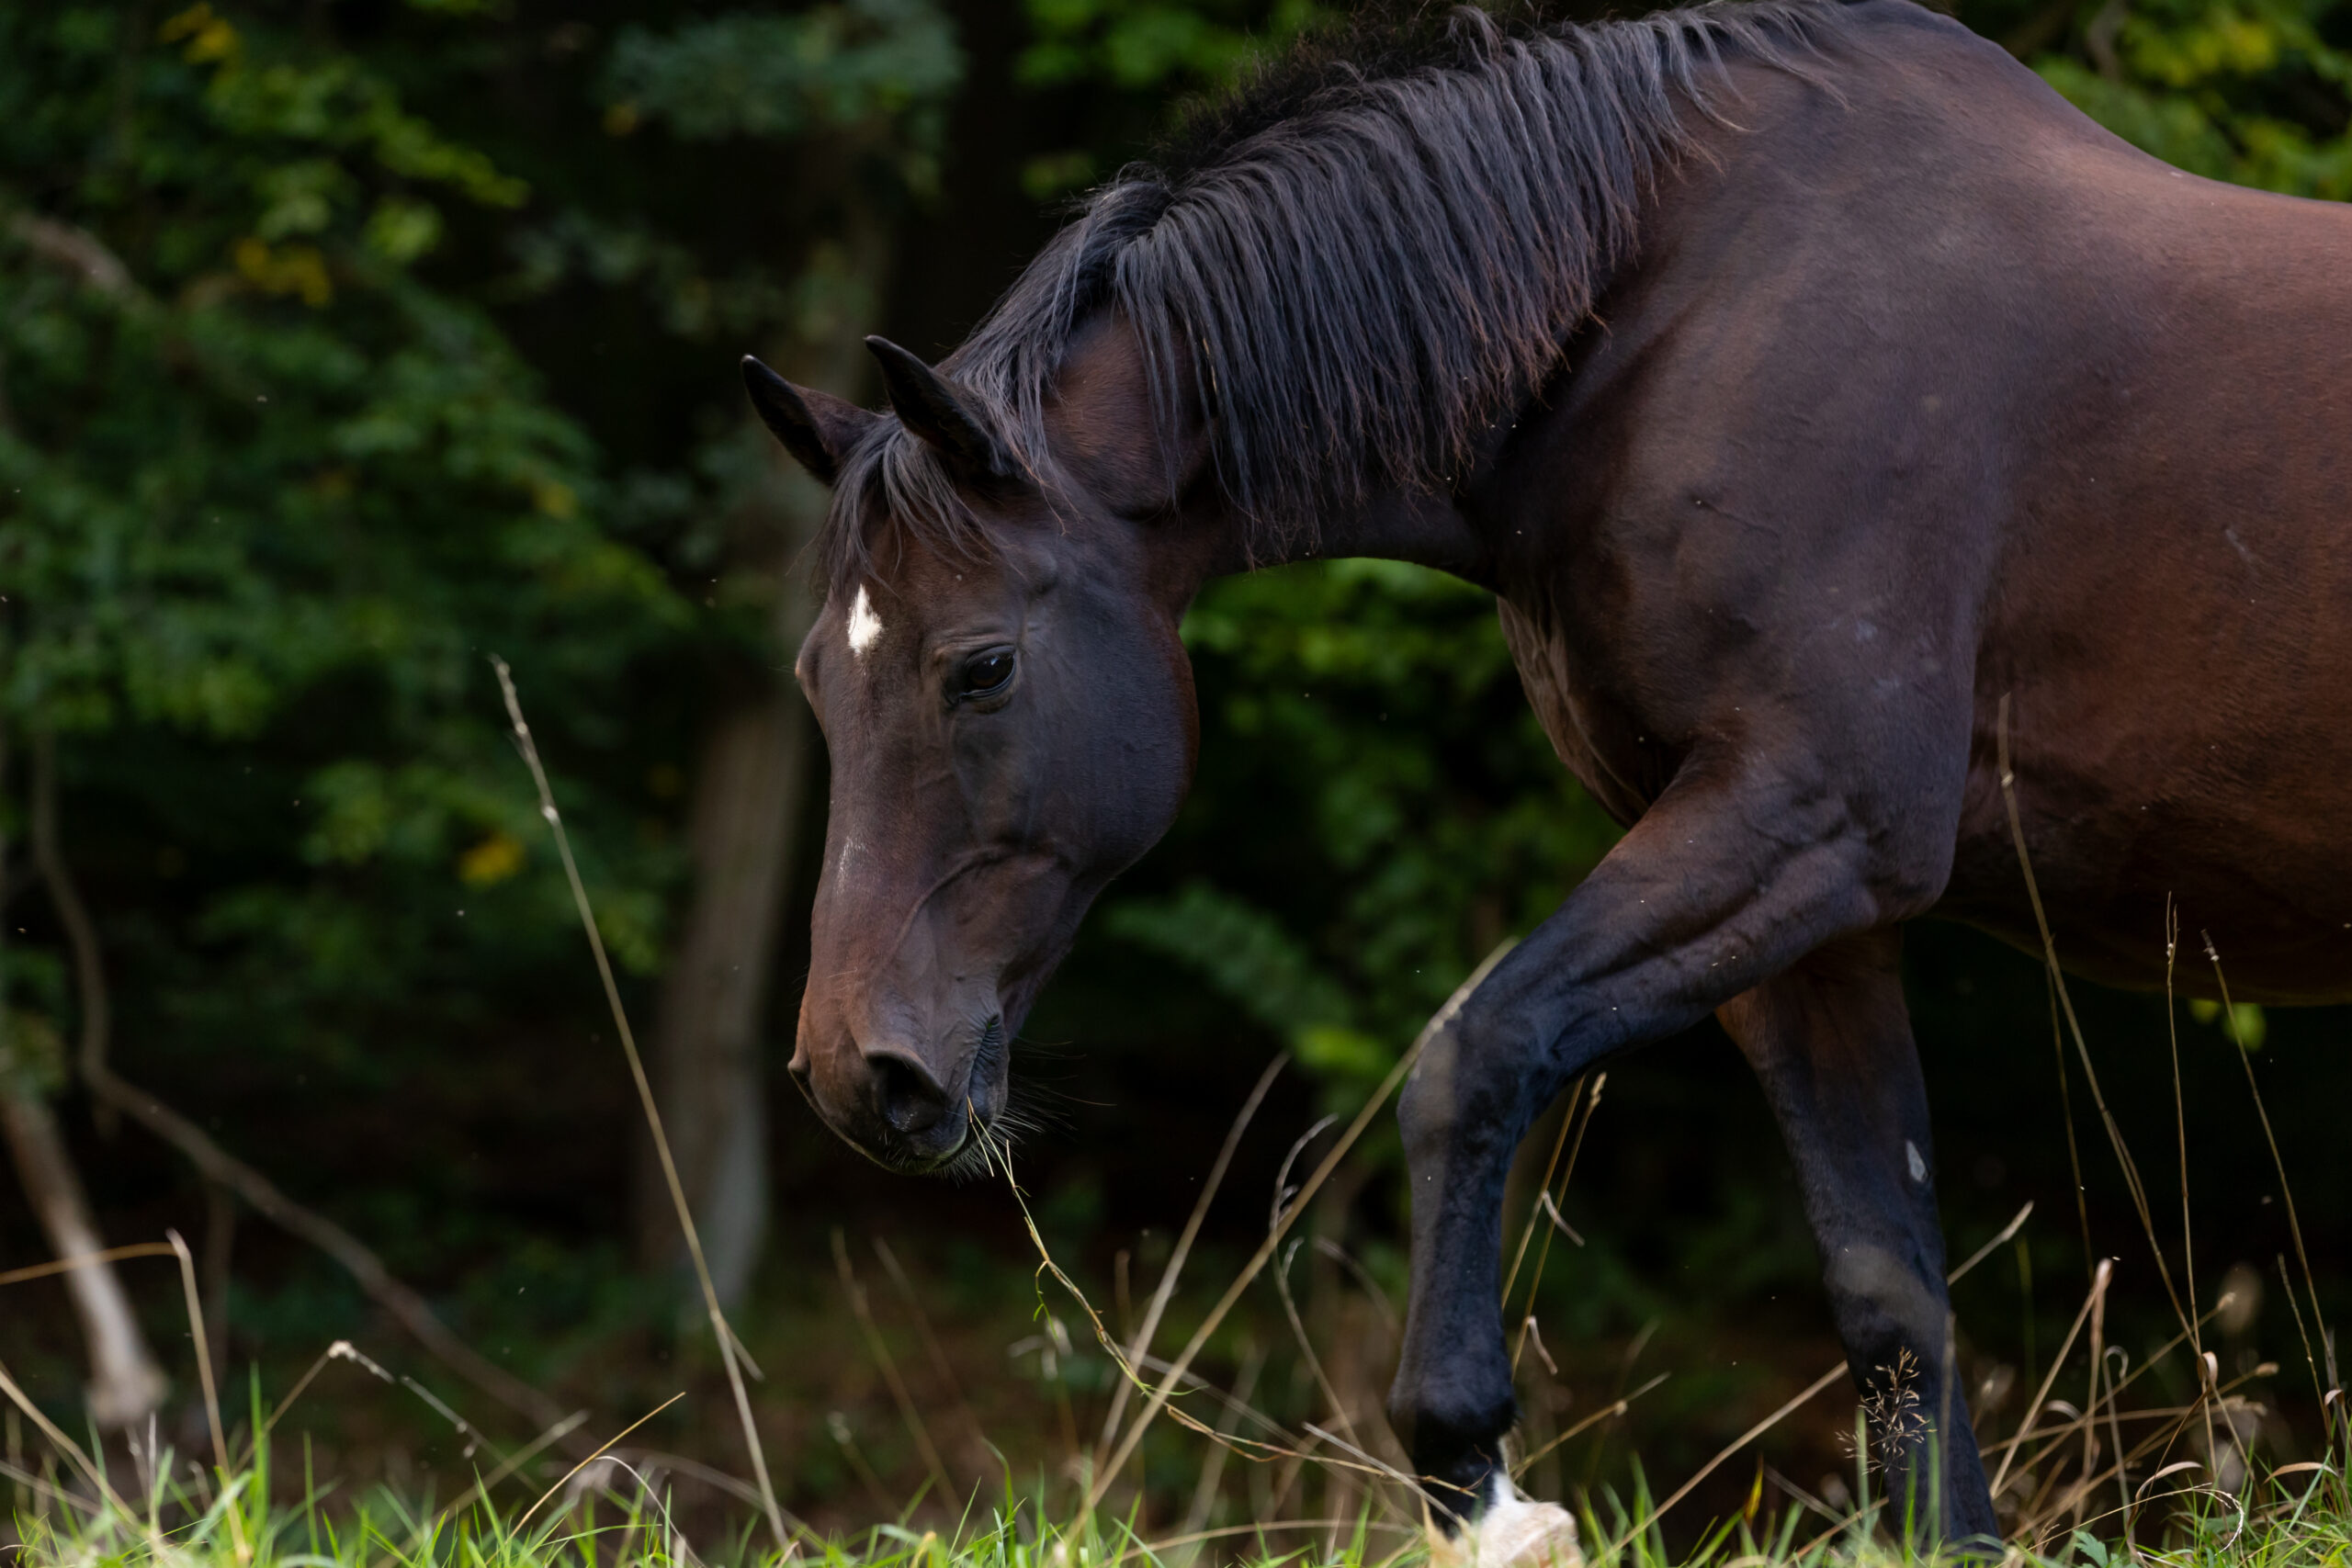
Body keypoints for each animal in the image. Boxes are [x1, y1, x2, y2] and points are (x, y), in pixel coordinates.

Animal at [742, 0, 2352, 1541]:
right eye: (816, 677)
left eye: (980, 667)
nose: (856, 1071)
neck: (1676, 316)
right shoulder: (1811, 914)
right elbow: (1891, 1296)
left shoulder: (1814, 817)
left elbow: (1471, 1056)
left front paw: (1478, 1474)